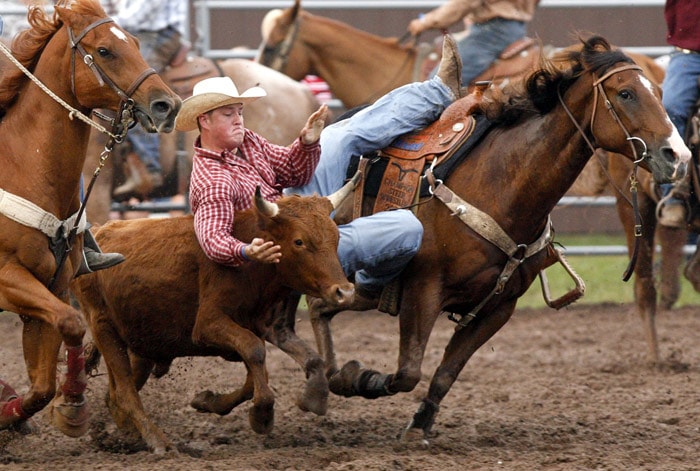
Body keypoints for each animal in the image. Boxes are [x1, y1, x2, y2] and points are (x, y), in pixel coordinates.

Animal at [0, 0, 180, 438]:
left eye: (135, 42)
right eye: (104, 51)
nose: (167, 105)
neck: (22, 168)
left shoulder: (53, 284)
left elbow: (47, 374)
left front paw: (61, 408)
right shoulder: (7, 276)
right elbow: (71, 325)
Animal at [304, 37, 688, 442]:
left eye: (659, 93)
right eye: (626, 93)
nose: (677, 156)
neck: (502, 182)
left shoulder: (499, 308)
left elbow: (444, 374)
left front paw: (418, 423)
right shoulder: (423, 291)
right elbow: (408, 371)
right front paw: (358, 379)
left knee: (321, 306)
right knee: (318, 307)